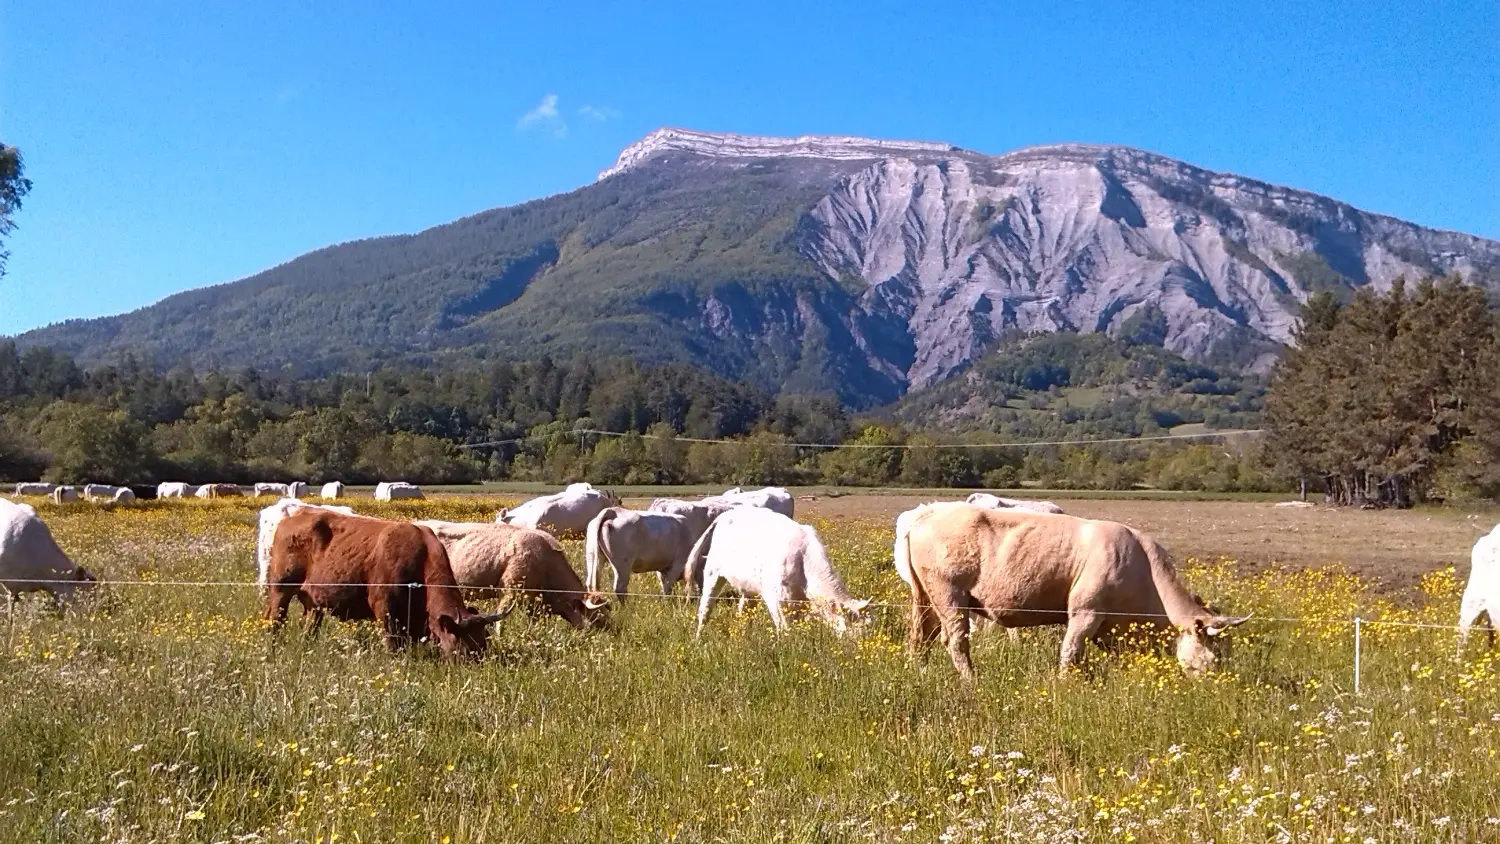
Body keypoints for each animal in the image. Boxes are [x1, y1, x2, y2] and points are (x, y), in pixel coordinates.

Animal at [264, 509, 504, 659]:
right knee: (275, 621)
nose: (479, 665)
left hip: (313, 603)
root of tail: (289, 520)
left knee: (309, 626)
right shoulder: (385, 610)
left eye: (483, 642)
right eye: (464, 646)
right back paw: (273, 650)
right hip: (280, 590)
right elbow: (392, 643)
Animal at [687, 506, 870, 638]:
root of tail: (726, 515)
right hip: (713, 573)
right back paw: (698, 639)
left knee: (743, 611)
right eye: (855, 626)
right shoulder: (776, 599)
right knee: (705, 609)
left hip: (748, 586)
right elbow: (784, 628)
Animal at [894, 500, 1248, 680]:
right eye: (1216, 654)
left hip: (925, 596)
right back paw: (972, 681)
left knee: (920, 636)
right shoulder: (1086, 611)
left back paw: (918, 671)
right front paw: (1067, 686)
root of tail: (926, 513)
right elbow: (1070, 652)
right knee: (955, 640)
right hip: (950, 593)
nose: (1223, 683)